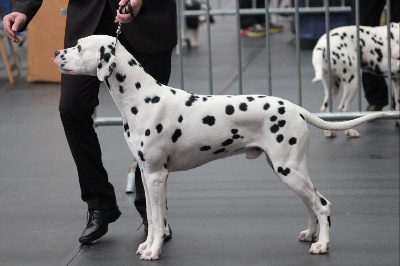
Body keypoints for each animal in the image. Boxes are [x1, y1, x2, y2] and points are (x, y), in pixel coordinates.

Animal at [54, 34, 388, 260]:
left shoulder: (157, 176)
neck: (141, 97)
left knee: (323, 204)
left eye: (79, 47)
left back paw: (323, 245)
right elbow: (152, 216)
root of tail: (296, 108)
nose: (57, 52)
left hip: (289, 170)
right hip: (289, 171)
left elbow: (158, 221)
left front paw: (155, 251)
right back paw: (310, 235)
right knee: (312, 204)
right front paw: (148, 245)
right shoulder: (148, 177)